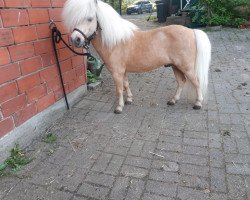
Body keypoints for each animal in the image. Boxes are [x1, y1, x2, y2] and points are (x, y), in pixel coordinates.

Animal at [62, 0, 211, 113]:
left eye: (90, 19)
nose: (75, 39)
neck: (115, 42)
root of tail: (191, 31)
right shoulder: (123, 71)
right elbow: (126, 84)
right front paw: (129, 100)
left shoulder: (117, 72)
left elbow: (119, 89)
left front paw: (119, 107)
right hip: (176, 66)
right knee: (181, 82)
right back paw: (173, 101)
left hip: (186, 67)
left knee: (196, 82)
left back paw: (198, 103)